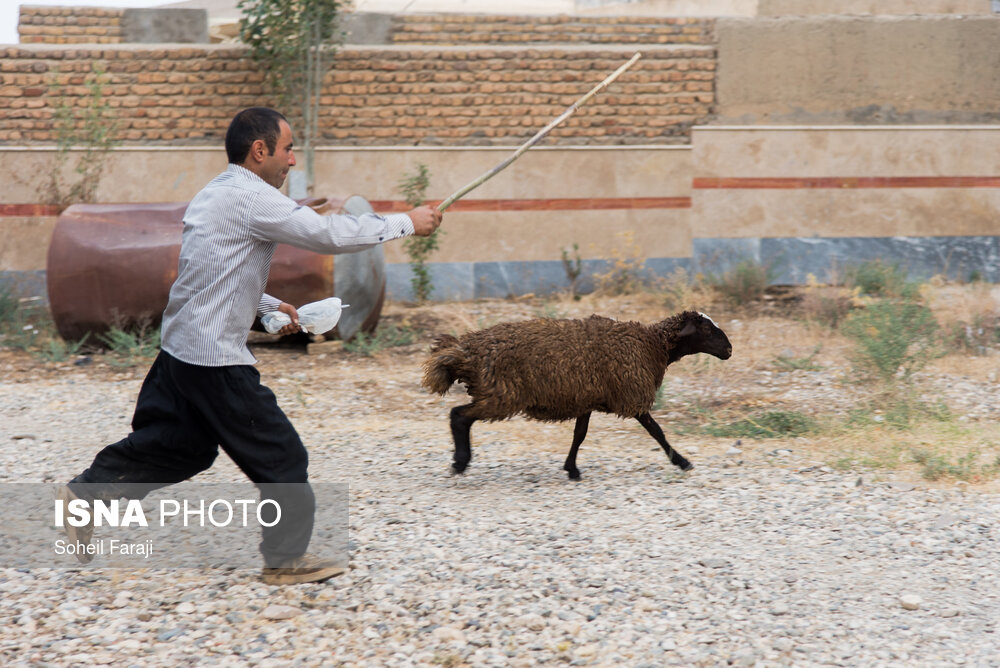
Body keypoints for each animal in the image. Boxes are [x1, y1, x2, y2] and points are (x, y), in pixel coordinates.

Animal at [422, 310, 736, 478]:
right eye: (708, 329)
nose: (729, 350)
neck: (651, 345)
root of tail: (465, 351)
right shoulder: (631, 393)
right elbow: (657, 432)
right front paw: (682, 462)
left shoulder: (586, 396)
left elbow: (579, 435)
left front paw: (571, 468)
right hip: (502, 395)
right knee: (459, 416)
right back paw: (460, 461)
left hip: (496, 394)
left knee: (460, 416)